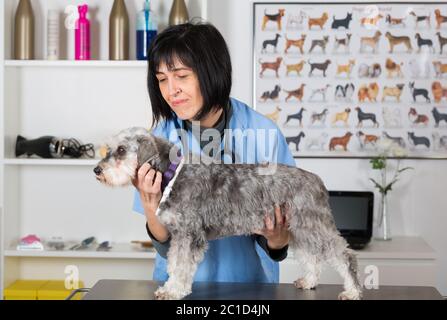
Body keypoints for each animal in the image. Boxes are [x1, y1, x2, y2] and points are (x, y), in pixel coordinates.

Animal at [94, 127, 364, 300]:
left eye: (121, 150)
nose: (97, 170)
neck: (173, 175)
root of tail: (317, 180)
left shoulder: (189, 235)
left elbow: (182, 265)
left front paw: (174, 290)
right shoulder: (179, 236)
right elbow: (174, 262)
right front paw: (170, 286)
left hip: (312, 226)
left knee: (344, 255)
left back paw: (352, 290)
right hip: (298, 229)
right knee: (312, 258)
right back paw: (309, 281)